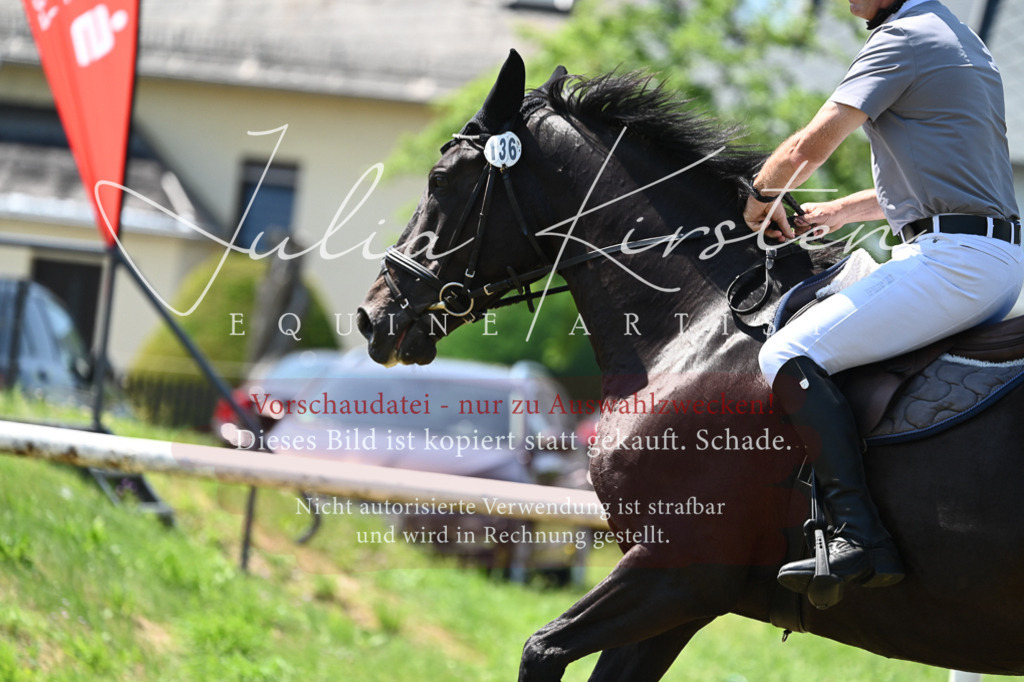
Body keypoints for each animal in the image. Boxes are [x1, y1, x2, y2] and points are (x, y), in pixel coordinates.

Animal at [357, 50, 1024, 680]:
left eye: (440, 179)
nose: (372, 317)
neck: (702, 329)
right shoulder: (677, 596)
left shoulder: (676, 571)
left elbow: (540, 650)